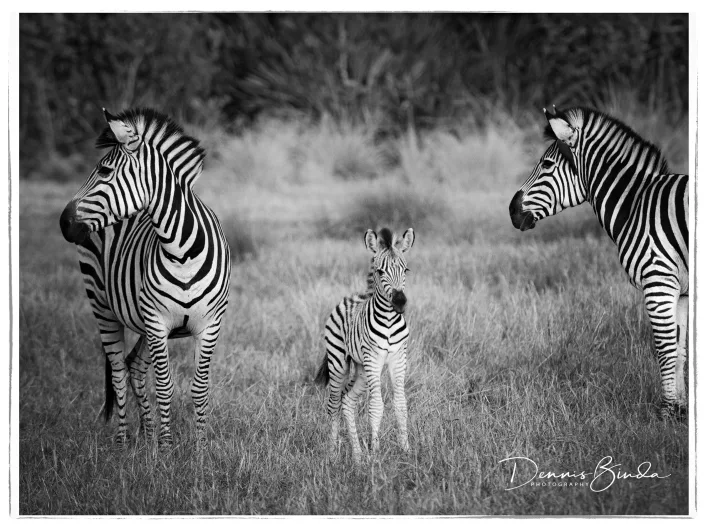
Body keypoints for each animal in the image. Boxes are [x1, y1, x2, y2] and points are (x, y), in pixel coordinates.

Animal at [59, 108, 232, 448]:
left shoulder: (209, 325)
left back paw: (146, 433)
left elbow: (200, 388)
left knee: (134, 366)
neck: (183, 251)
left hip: (139, 322)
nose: (63, 223)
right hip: (103, 307)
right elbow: (165, 387)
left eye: (104, 171)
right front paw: (165, 449)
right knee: (118, 372)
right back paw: (124, 442)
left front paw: (200, 448)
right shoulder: (157, 322)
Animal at [315, 228, 415, 463]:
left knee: (347, 401)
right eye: (380, 271)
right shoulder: (374, 359)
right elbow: (376, 406)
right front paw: (376, 452)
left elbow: (401, 405)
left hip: (361, 369)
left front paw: (406, 451)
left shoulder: (399, 358)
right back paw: (332, 453)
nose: (400, 302)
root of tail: (353, 296)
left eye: (406, 269)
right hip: (339, 362)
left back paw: (358, 455)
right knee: (333, 404)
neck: (389, 320)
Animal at [509, 105, 688, 419]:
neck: (637, 205)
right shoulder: (683, 291)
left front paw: (667, 412)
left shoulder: (659, 280)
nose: (511, 211)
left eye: (546, 165)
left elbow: (666, 348)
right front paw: (681, 409)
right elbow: (681, 349)